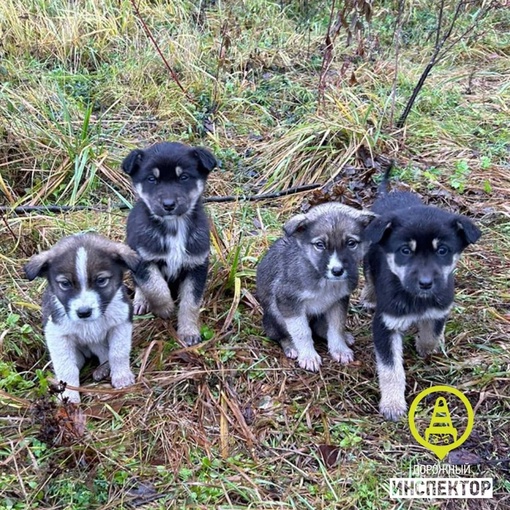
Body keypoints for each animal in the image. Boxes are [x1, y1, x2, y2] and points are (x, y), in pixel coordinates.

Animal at [23, 233, 139, 404]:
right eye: (65, 283)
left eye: (101, 280)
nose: (84, 312)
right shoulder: (57, 334)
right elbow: (66, 367)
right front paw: (69, 395)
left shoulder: (121, 322)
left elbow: (118, 352)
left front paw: (122, 376)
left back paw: (103, 369)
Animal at [122, 141, 216, 344]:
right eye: (151, 179)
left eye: (184, 177)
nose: (168, 204)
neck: (174, 226)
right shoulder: (143, 259)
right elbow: (155, 286)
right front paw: (165, 308)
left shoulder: (197, 265)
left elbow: (190, 303)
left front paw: (189, 332)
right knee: (139, 284)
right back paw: (141, 301)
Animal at [256, 202, 376, 370]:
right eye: (320, 245)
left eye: (351, 243)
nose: (337, 271)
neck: (324, 280)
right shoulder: (288, 300)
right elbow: (302, 331)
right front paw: (308, 356)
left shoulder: (339, 300)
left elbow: (337, 326)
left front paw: (339, 349)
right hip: (275, 314)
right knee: (280, 334)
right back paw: (291, 346)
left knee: (321, 329)